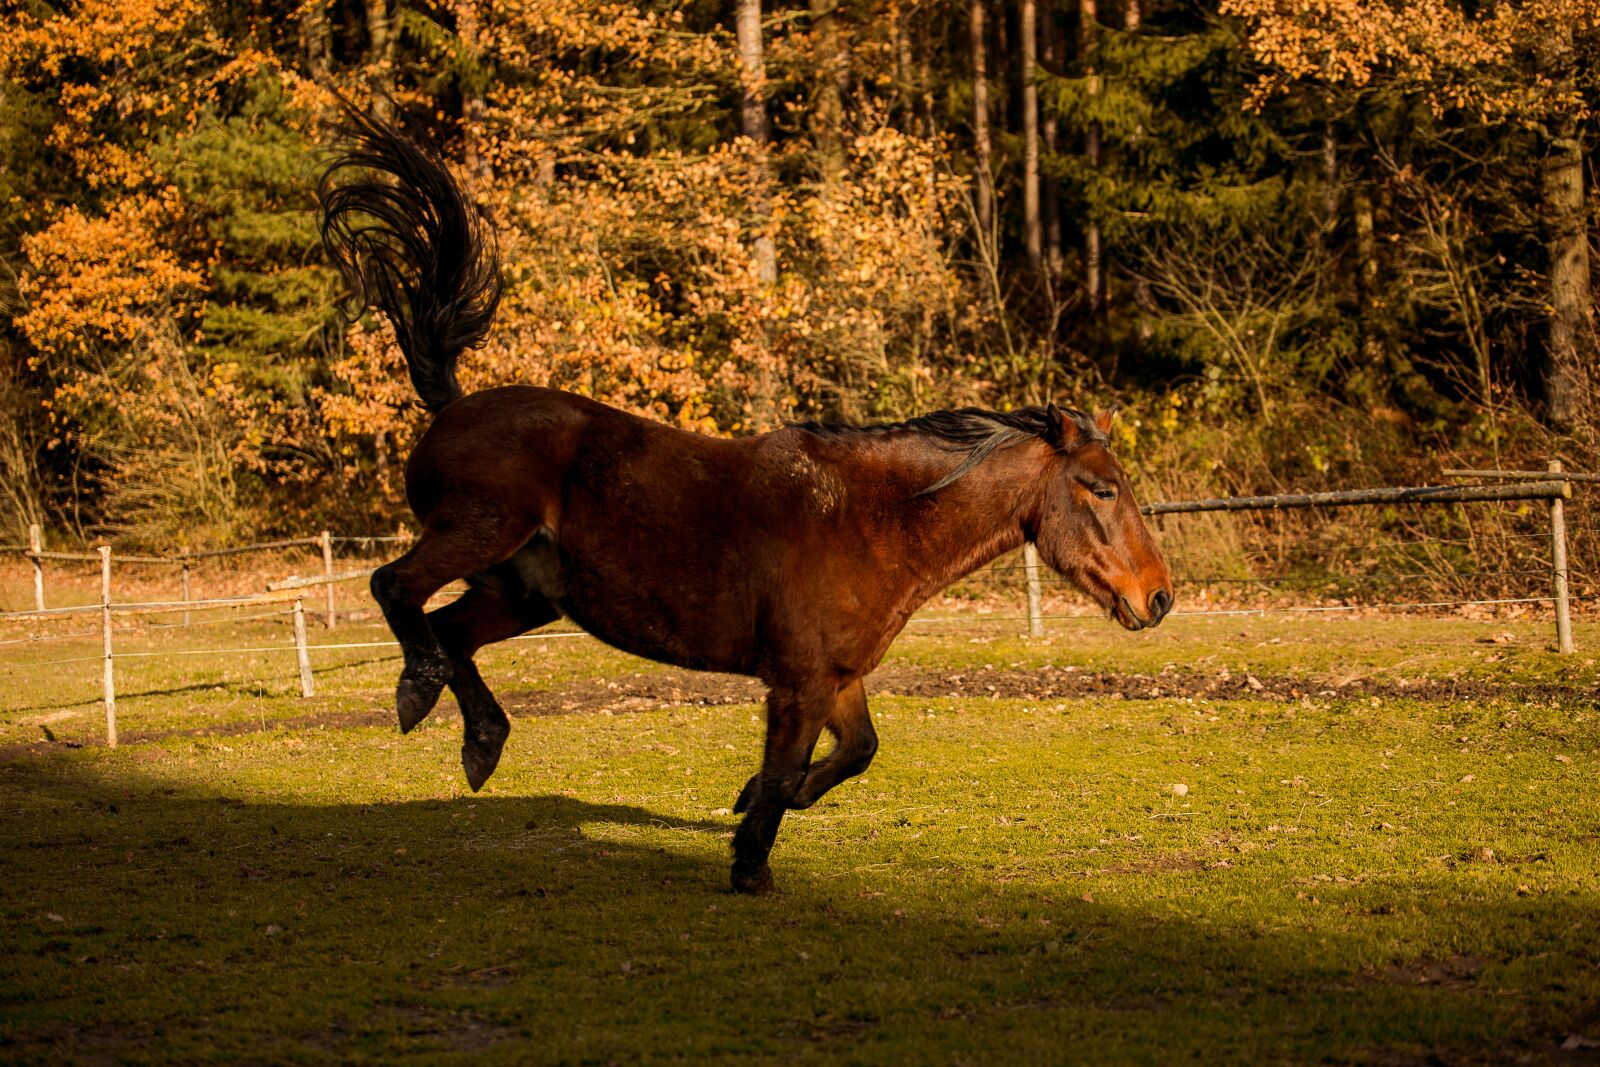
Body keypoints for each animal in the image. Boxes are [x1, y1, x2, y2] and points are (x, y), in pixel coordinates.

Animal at [318, 108, 1174, 895]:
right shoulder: (798, 683)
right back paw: (418, 692)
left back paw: (482, 741)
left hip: (523, 590)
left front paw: (756, 803)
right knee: (396, 589)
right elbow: (794, 764)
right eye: (1102, 487)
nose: (1158, 597)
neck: (873, 518)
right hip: (479, 531)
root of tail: (452, 403)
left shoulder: (837, 675)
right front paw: (751, 860)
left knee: (447, 630)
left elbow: (855, 752)